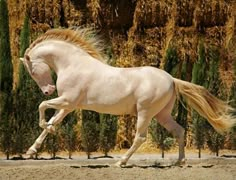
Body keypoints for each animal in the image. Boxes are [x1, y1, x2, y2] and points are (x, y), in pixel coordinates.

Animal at [21, 27, 235, 166]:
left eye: (31, 71)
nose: (48, 90)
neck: (73, 64)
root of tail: (171, 79)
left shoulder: (67, 100)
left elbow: (42, 106)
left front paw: (44, 129)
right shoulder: (68, 105)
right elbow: (53, 121)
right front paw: (31, 151)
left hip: (145, 113)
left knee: (140, 137)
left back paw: (122, 162)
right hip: (162, 114)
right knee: (179, 131)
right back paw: (179, 162)